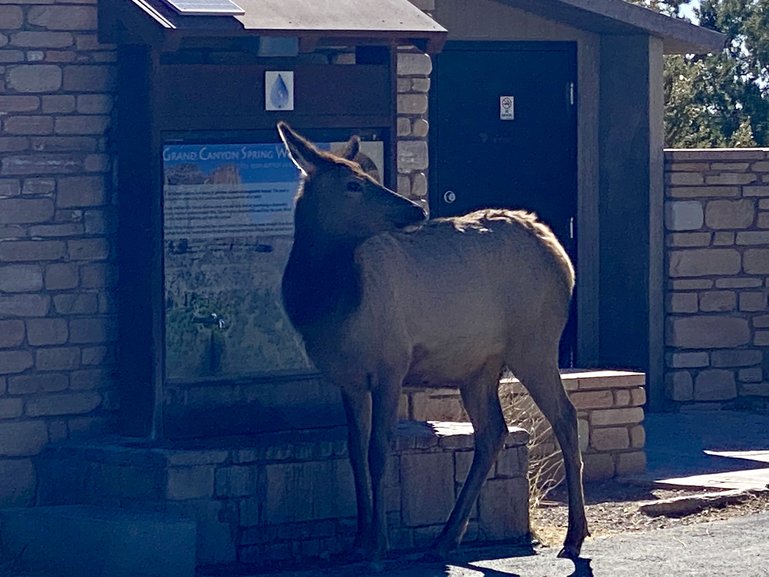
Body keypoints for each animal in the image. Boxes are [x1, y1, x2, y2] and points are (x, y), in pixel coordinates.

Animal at [276, 122, 588, 564]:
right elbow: (354, 451)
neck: (329, 304)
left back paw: (574, 535)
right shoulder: (348, 380)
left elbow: (378, 450)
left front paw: (379, 544)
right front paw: (355, 542)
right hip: (480, 365)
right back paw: (445, 537)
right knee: (492, 431)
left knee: (564, 415)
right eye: (354, 184)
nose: (416, 210)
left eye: (369, 175)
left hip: (535, 343)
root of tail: (560, 253)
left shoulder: (390, 363)